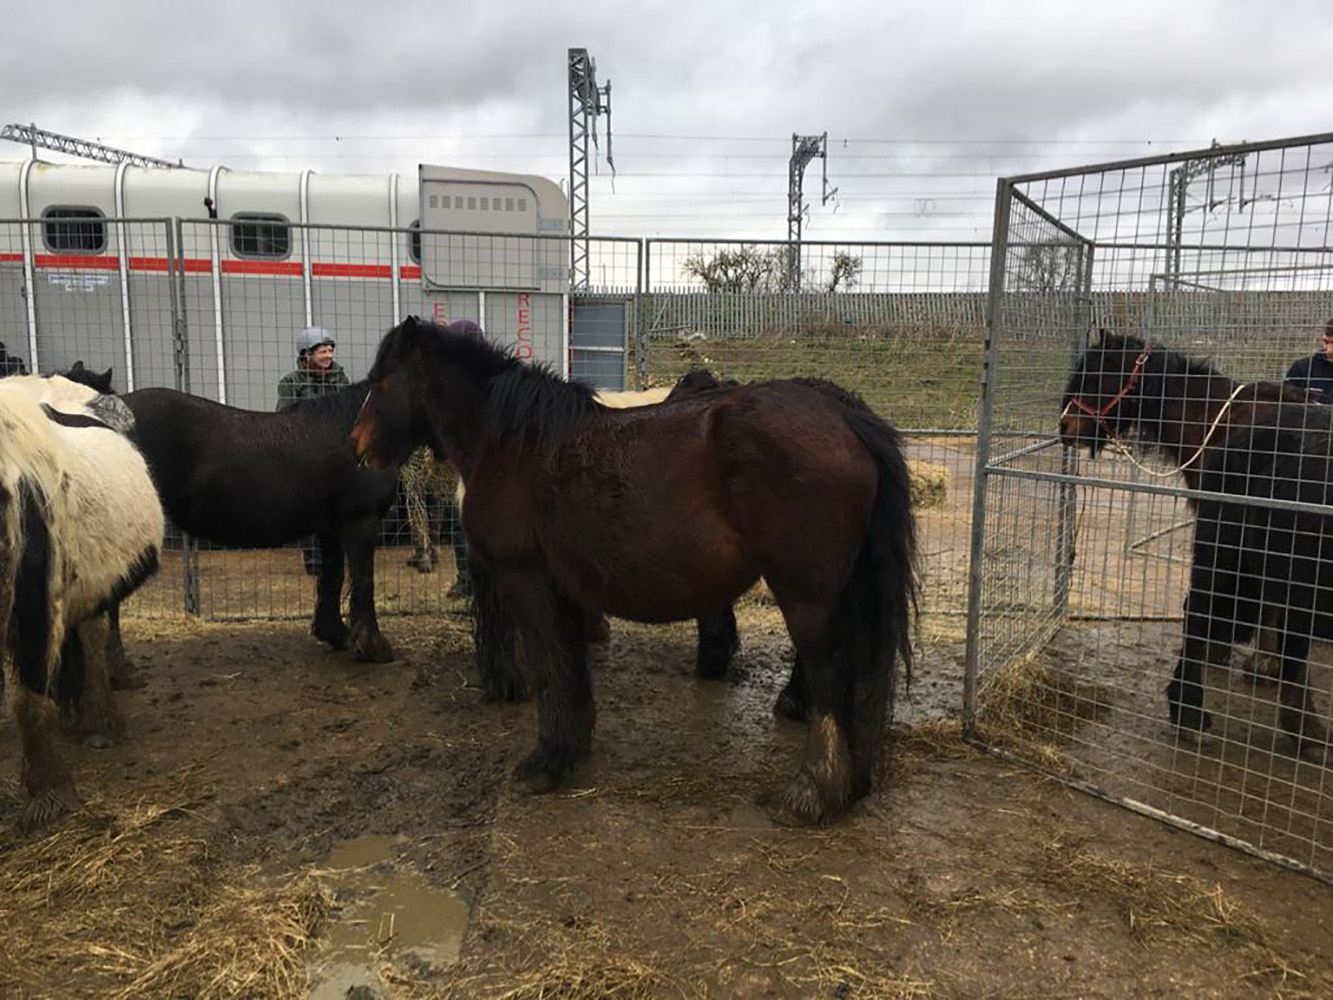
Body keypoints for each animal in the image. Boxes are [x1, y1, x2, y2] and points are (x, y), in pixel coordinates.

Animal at [59, 368, 399, 666]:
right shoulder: (360, 522)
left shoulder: (330, 527)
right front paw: (374, 648)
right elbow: (363, 580)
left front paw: (336, 634)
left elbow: (332, 578)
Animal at [351, 317, 917, 826]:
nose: (359, 447)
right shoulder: (566, 594)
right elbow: (571, 669)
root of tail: (845, 418)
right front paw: (572, 747)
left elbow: (551, 670)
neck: (513, 446)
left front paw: (546, 762)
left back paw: (813, 792)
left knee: (830, 676)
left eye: (381, 378)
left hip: (806, 598)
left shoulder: (529, 586)